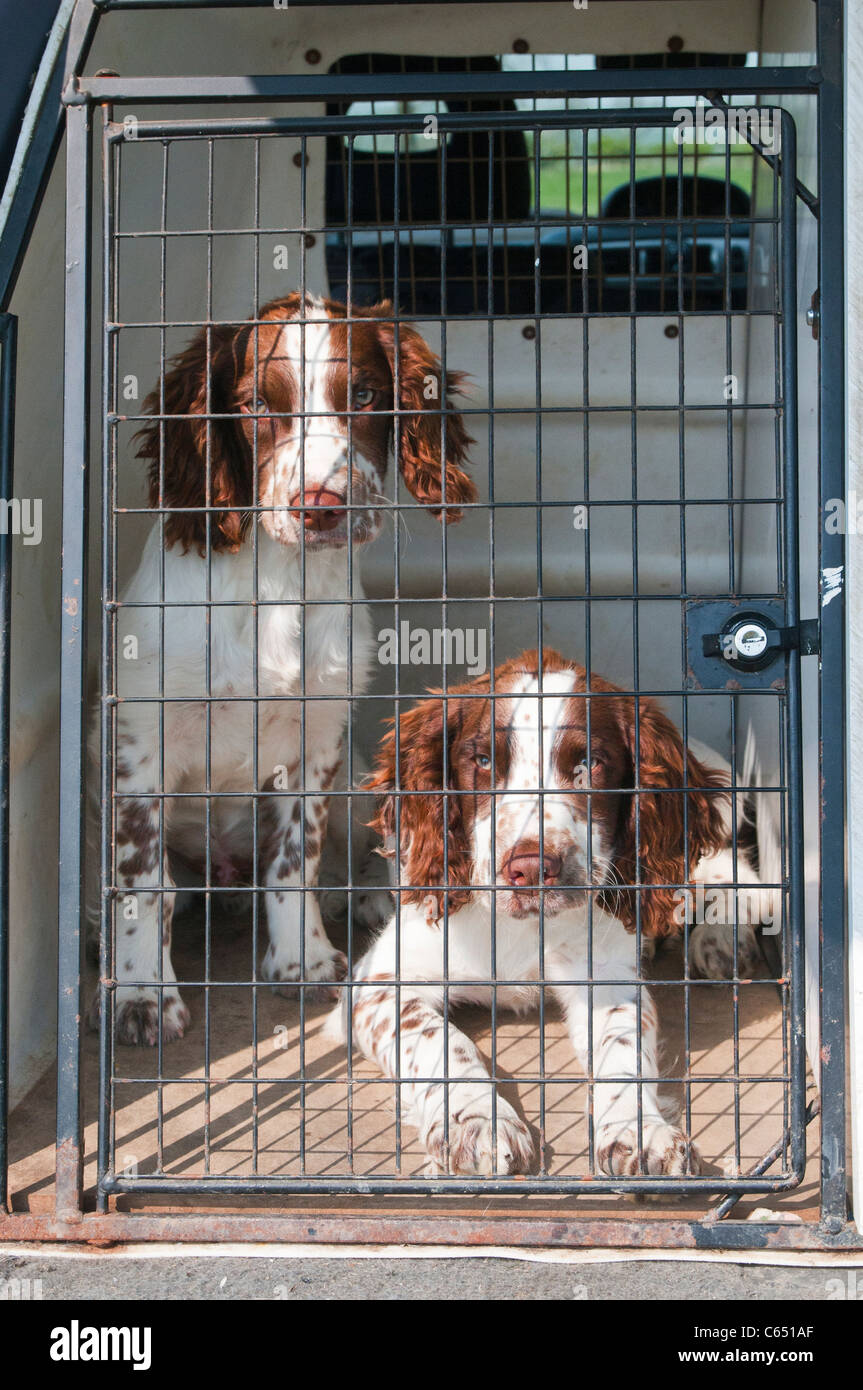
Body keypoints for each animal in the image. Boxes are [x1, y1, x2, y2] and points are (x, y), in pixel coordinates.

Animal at [92, 298, 478, 1045]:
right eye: (252, 406)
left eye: (365, 396)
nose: (320, 506)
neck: (276, 579)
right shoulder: (139, 746)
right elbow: (142, 884)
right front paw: (141, 996)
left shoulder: (316, 739)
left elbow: (296, 860)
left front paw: (304, 961)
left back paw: (375, 899)